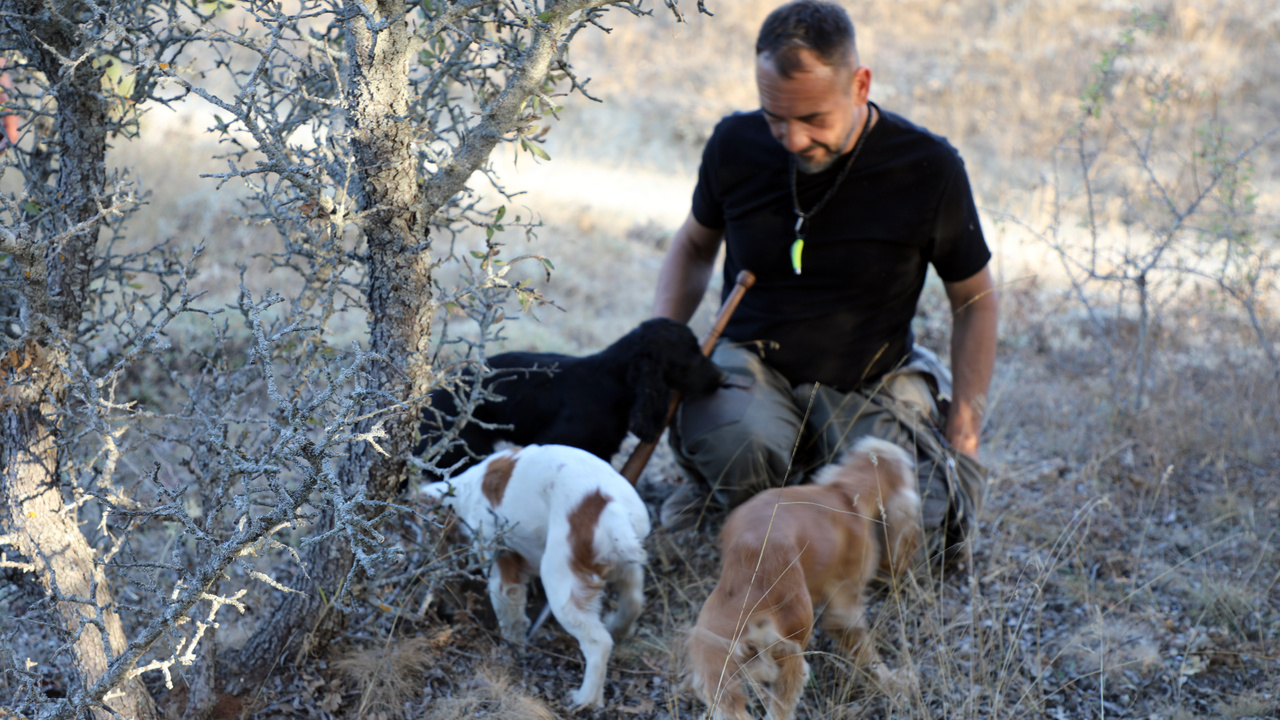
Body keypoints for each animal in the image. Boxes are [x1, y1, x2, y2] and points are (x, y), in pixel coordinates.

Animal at [422, 443, 650, 707]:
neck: (465, 491)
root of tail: (611, 509)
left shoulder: (501, 569)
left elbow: (511, 619)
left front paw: (512, 650)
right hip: (627, 567)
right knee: (633, 602)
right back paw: (618, 628)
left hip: (559, 582)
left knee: (598, 643)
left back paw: (585, 699)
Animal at [686, 435, 926, 712]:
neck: (844, 491)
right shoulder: (846, 604)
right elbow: (866, 652)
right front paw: (894, 683)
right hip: (793, 651)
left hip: (715, 667)